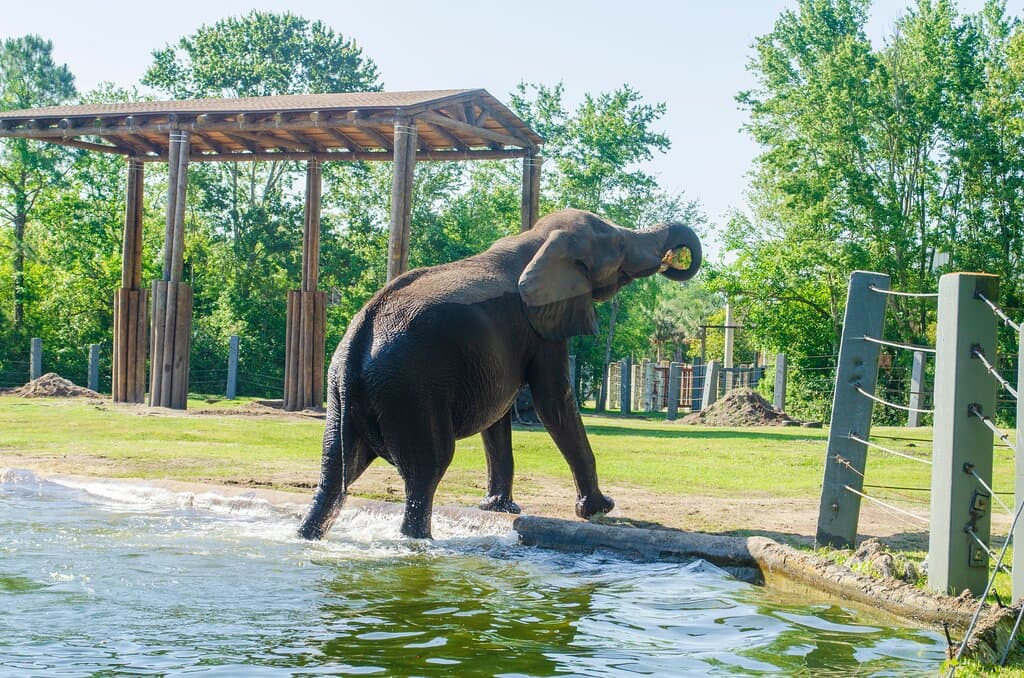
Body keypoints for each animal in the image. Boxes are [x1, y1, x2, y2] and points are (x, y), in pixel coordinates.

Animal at [298, 208, 702, 539]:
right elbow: (555, 401)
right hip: (409, 392)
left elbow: (499, 417)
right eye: (619, 244)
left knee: (333, 474)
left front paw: (500, 509)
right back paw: (419, 543)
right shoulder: (540, 327)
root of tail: (356, 344)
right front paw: (601, 508)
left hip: (341, 397)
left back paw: (309, 536)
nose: (673, 259)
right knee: (426, 471)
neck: (537, 239)